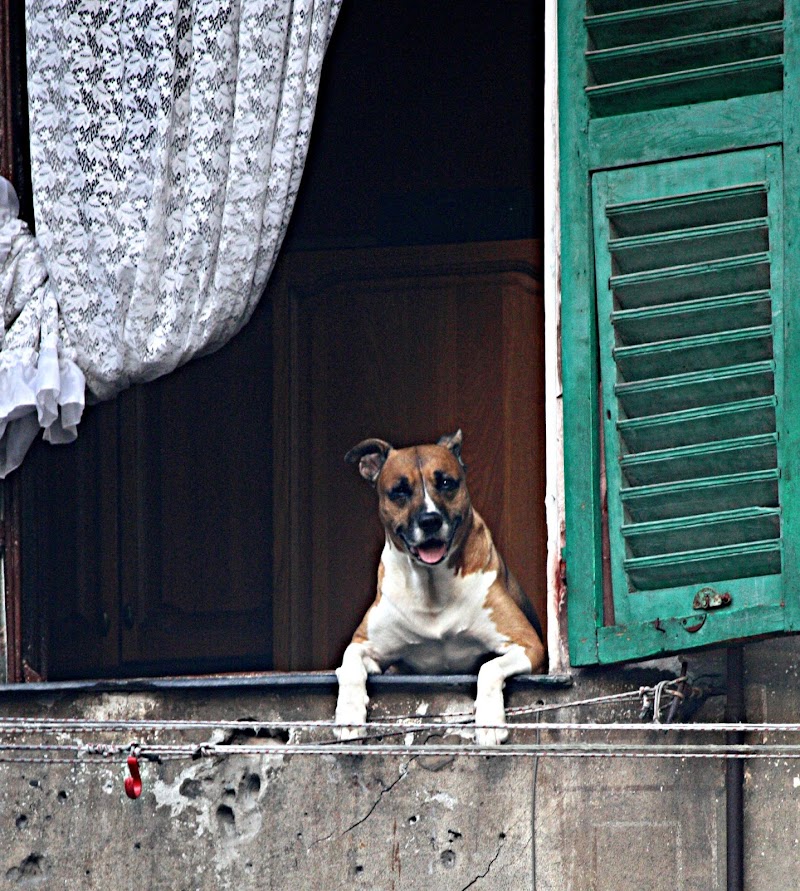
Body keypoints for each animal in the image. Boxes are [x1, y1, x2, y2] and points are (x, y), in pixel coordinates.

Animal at [334, 428, 548, 744]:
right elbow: (348, 663)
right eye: (399, 491)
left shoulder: (527, 644)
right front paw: (348, 714)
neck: (430, 583)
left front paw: (489, 721)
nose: (430, 520)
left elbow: (488, 667)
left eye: (446, 482)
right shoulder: (365, 643)